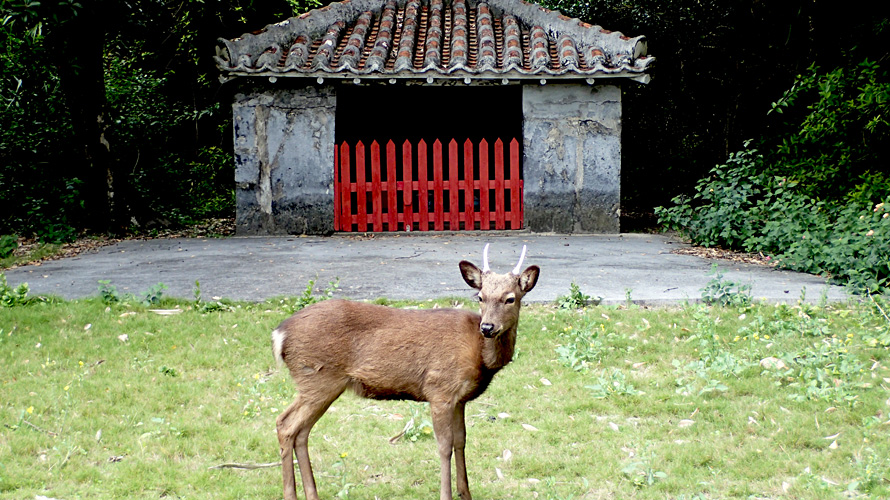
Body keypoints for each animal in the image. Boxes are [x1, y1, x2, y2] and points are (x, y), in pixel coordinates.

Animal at [270, 245, 536, 500]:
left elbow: (461, 441)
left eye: (510, 298)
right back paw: (290, 495)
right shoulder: (439, 389)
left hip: (318, 384)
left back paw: (312, 494)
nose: (488, 327)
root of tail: (279, 334)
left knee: (301, 432)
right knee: (285, 424)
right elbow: (445, 446)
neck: (479, 354)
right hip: (318, 378)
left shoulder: (459, 399)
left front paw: (466, 493)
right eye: (480, 296)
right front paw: (446, 495)